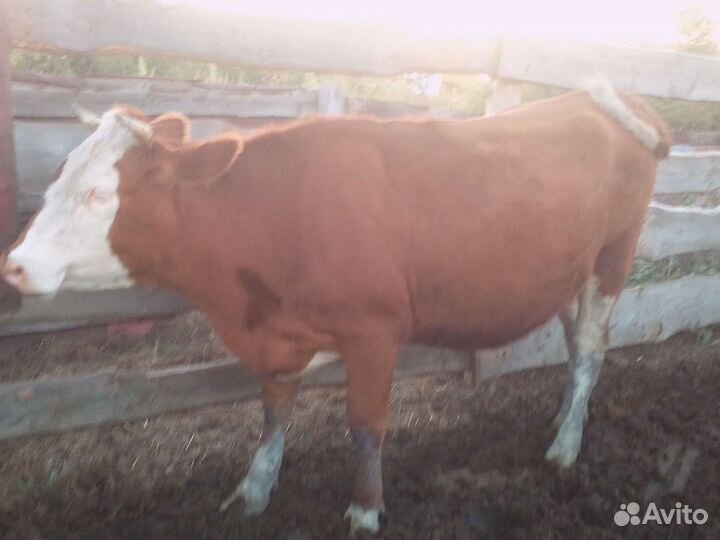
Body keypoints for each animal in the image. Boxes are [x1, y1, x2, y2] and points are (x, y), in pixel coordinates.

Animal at [1, 79, 670, 535]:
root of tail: (604, 98)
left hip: (614, 258)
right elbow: (272, 416)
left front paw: (365, 509)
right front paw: (253, 491)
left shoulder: (374, 332)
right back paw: (561, 422)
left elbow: (366, 426)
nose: (16, 264)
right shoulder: (277, 337)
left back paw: (565, 449)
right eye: (58, 176)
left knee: (590, 351)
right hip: (571, 274)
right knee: (577, 346)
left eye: (100, 193)